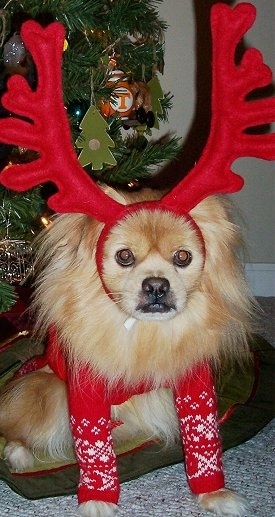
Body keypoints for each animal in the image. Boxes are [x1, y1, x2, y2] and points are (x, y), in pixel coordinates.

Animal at [0, 188, 254, 516]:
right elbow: (95, 451)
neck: (146, 333)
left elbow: (204, 442)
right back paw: (18, 454)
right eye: (124, 256)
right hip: (47, 392)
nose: (157, 285)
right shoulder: (87, 390)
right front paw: (98, 499)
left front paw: (215, 493)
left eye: (183, 257)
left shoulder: (195, 387)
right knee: (15, 427)